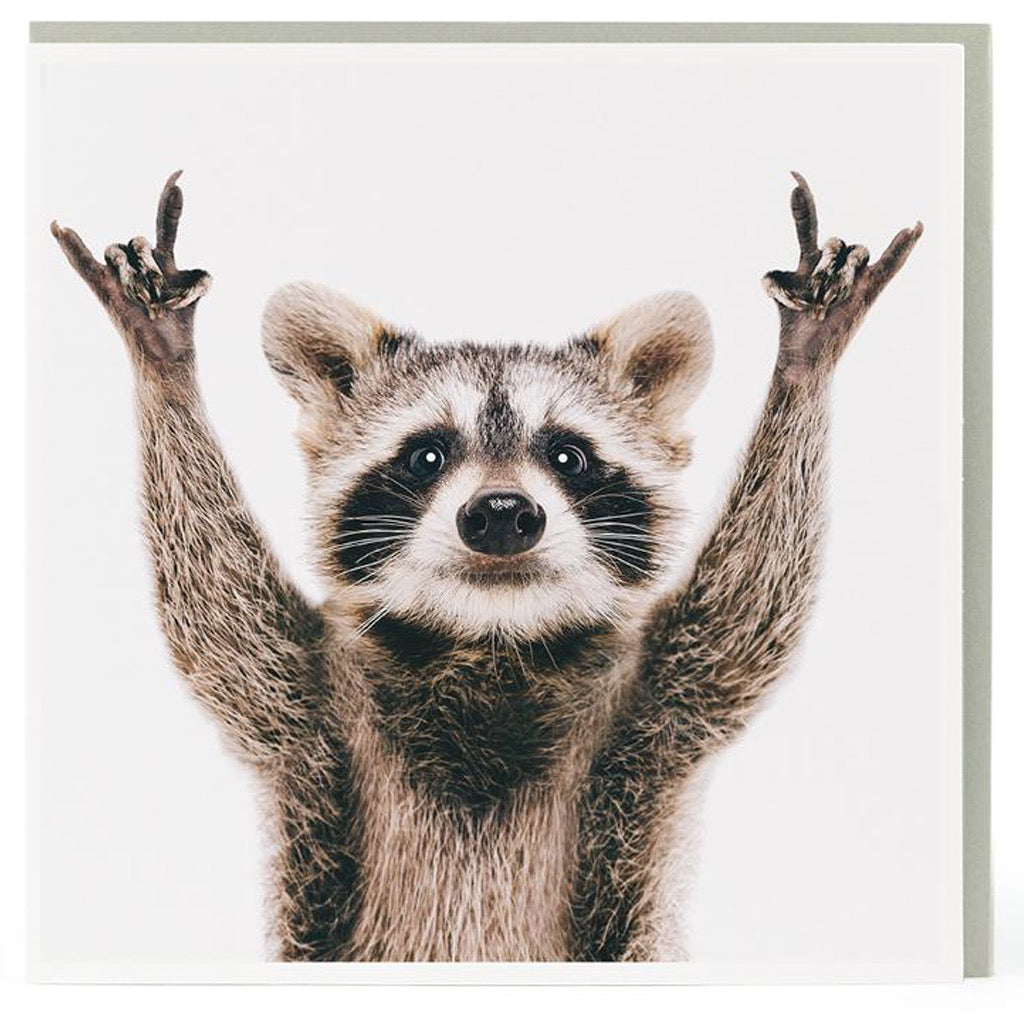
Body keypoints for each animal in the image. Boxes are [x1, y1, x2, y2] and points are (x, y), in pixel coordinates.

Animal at [51, 171, 922, 961]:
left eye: (567, 455)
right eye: (427, 455)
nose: (502, 514)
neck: (491, 641)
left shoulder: (658, 704)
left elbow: (749, 610)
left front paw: (804, 362)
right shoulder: (308, 704)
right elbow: (216, 610)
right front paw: (164, 364)